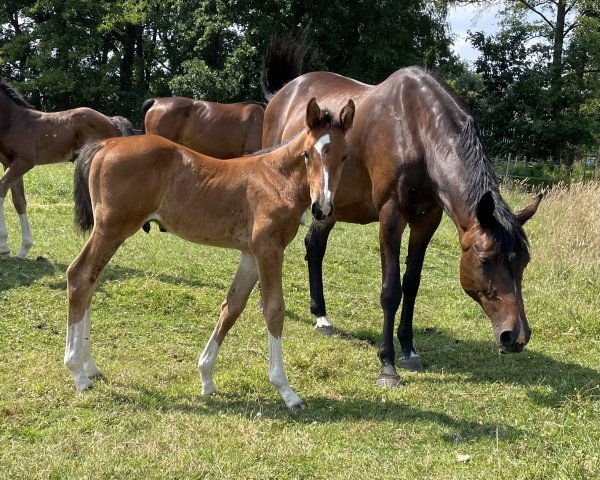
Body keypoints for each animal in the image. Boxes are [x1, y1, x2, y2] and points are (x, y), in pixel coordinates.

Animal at [0, 77, 134, 258]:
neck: (14, 122)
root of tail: (110, 119)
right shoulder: (9, 163)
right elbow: (18, 201)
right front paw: (22, 250)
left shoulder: (24, 162)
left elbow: (2, 188)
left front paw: (3, 247)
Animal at [65, 97, 356, 408]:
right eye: (307, 154)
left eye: (344, 157)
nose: (321, 209)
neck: (277, 178)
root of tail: (104, 145)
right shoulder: (269, 249)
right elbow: (274, 310)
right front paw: (286, 391)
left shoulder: (250, 254)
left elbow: (232, 307)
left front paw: (206, 376)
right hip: (111, 229)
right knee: (79, 276)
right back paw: (77, 372)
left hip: (111, 232)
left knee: (91, 281)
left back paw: (90, 366)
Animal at [260, 41, 540, 388]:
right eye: (486, 260)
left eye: (523, 262)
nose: (516, 337)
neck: (416, 131)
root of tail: (282, 94)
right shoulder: (391, 216)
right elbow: (391, 290)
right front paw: (387, 365)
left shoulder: (427, 220)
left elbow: (412, 283)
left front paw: (408, 349)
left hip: (328, 207)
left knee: (314, 246)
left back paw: (322, 316)